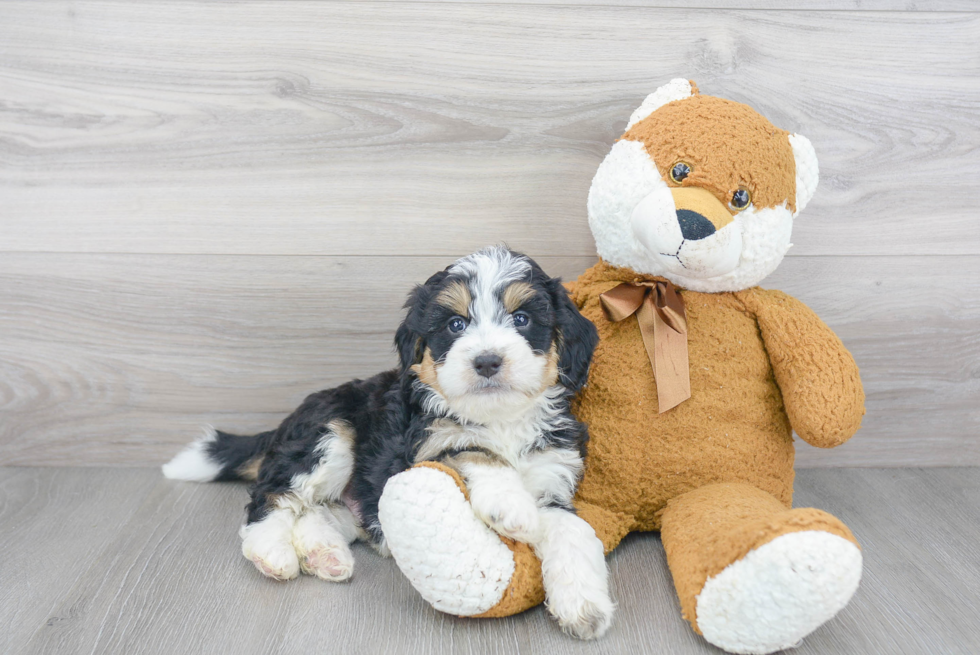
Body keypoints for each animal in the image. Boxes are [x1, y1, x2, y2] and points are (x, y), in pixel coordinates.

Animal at [167, 245, 612, 636]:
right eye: (455, 325)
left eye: (521, 319)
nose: (487, 361)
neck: (499, 418)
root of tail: (284, 424)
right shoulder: (426, 444)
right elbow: (473, 448)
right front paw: (510, 505)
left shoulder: (553, 473)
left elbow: (573, 531)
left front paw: (584, 606)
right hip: (328, 434)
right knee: (271, 497)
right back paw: (271, 553)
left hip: (355, 496)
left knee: (315, 511)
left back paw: (324, 554)